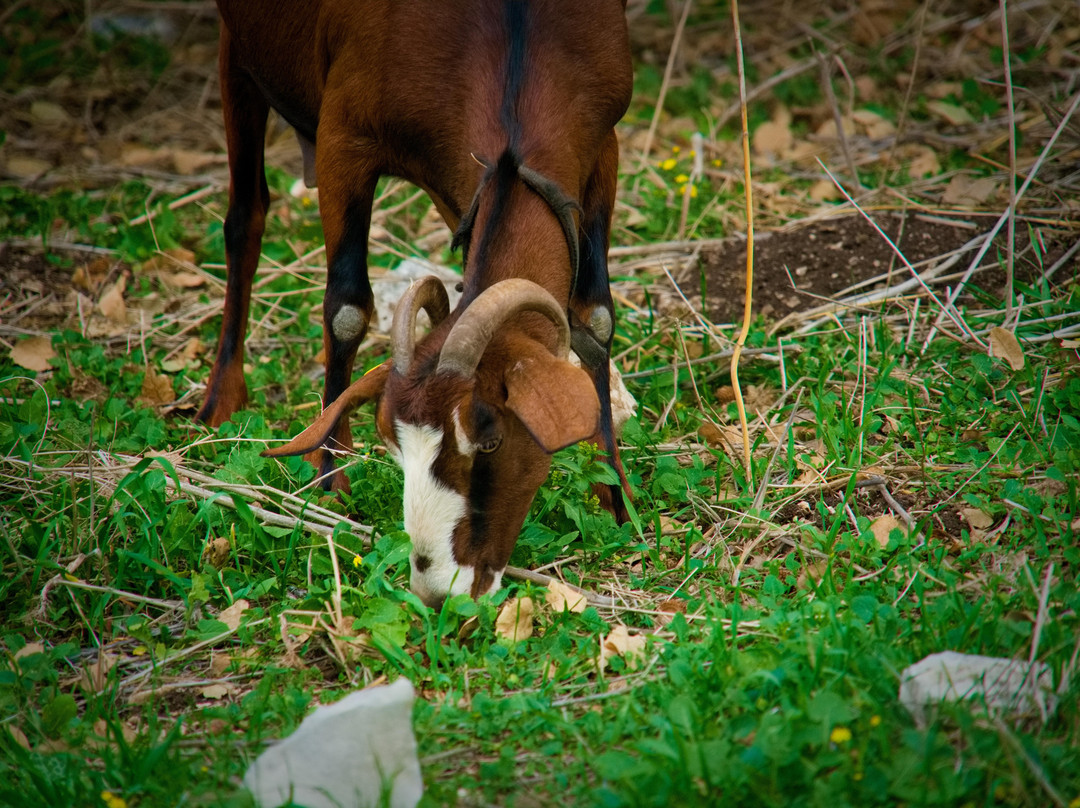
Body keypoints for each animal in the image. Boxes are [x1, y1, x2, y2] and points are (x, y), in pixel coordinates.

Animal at [200, 0, 634, 606]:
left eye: (491, 440)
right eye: (393, 444)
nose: (435, 591)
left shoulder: (600, 145)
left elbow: (595, 317)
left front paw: (615, 496)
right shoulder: (344, 135)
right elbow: (346, 309)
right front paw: (328, 479)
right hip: (237, 54)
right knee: (246, 216)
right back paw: (221, 401)